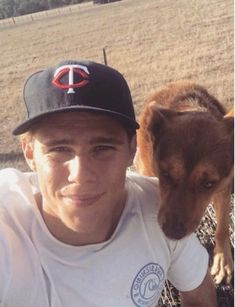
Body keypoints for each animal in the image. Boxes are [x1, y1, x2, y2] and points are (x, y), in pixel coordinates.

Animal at [135, 81, 234, 284]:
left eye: (209, 184)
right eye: (165, 174)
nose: (172, 233)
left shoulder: (224, 186)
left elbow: (222, 225)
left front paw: (222, 259)